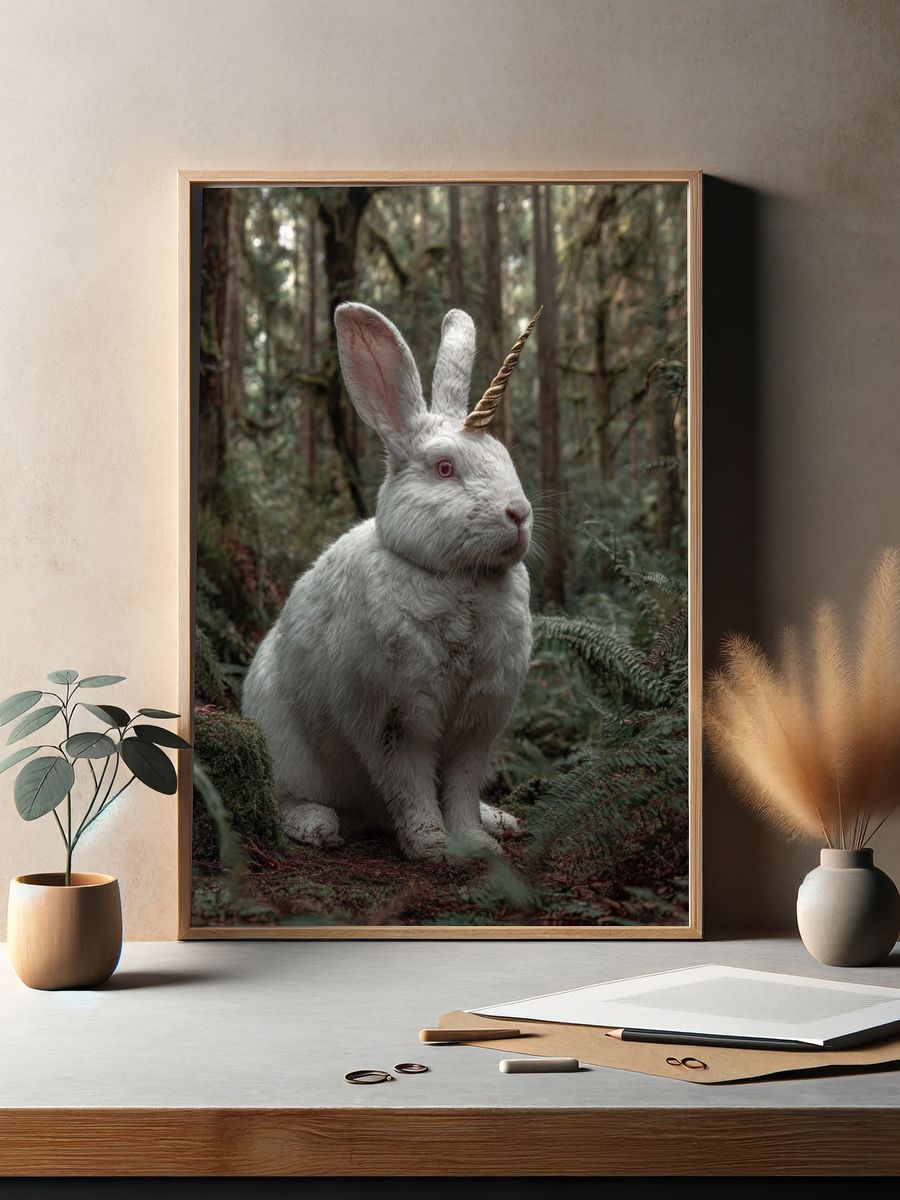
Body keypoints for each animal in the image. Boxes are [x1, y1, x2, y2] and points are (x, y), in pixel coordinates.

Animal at [241, 302, 536, 861]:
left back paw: (500, 820)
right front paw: (433, 847)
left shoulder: (476, 724)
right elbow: (411, 784)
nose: (519, 514)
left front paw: (476, 843)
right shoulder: (394, 718)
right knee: (282, 795)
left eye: (508, 459)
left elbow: (462, 785)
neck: (455, 578)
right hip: (286, 749)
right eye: (444, 469)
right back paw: (315, 824)